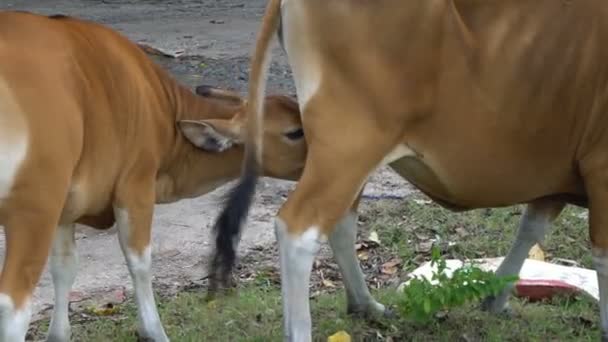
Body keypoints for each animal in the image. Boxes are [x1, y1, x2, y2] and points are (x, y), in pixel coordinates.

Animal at [0, 10, 306, 342]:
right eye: (294, 132)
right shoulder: (134, 186)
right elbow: (140, 261)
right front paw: (154, 330)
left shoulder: (66, 208)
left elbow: (65, 267)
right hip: (33, 210)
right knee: (13, 304)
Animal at [210, 0, 608, 340]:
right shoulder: (599, 166)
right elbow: (600, 254)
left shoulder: (558, 176)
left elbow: (531, 227)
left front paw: (495, 298)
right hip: (351, 143)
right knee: (298, 229)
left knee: (340, 221)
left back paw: (365, 304)